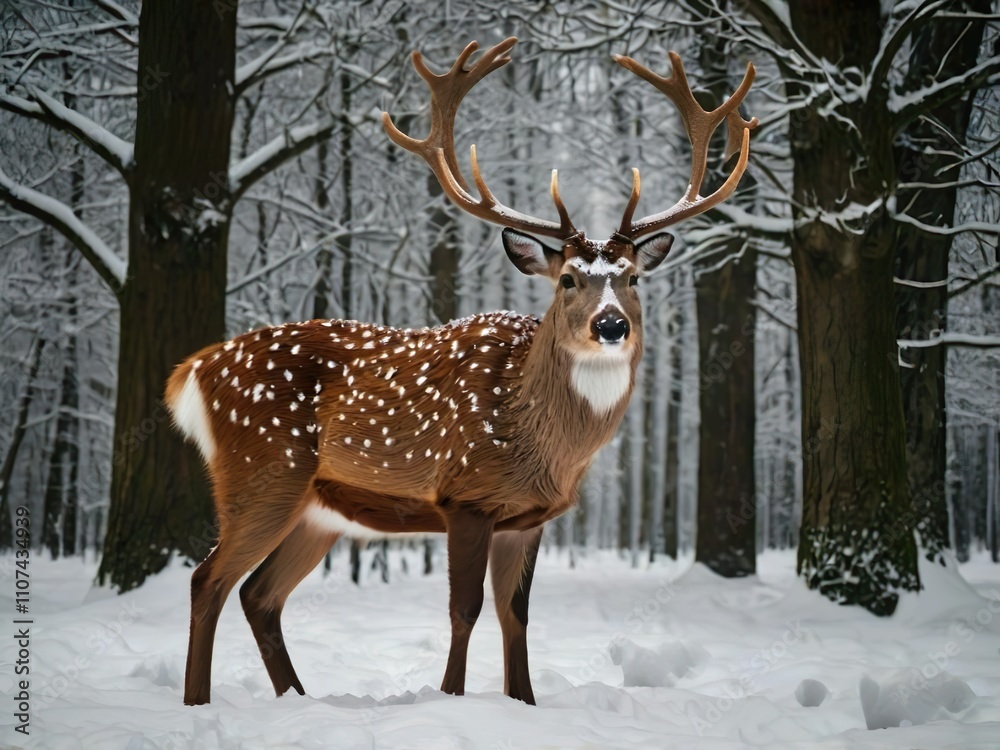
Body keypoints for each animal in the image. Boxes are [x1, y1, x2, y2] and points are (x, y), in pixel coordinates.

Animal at [166, 37, 756, 707]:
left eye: (632, 278)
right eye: (568, 279)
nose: (611, 326)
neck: (537, 440)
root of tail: (192, 371)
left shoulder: (527, 518)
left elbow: (515, 614)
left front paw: (523, 702)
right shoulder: (466, 496)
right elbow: (464, 609)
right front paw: (452, 699)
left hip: (316, 508)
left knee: (258, 594)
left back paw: (296, 698)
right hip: (260, 470)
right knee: (208, 580)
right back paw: (197, 702)